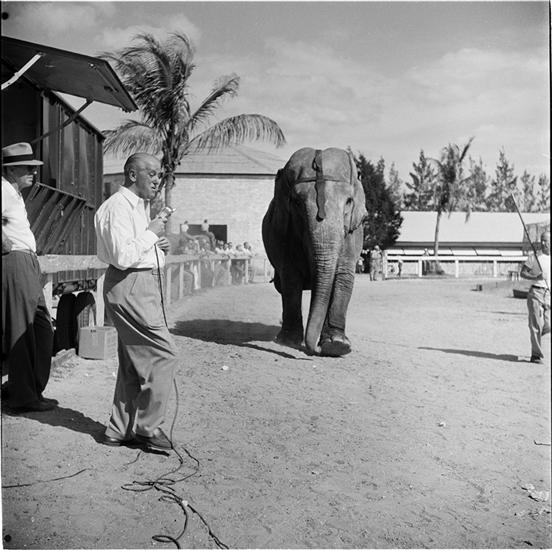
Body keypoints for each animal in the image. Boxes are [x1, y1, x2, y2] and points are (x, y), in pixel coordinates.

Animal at [262, 147, 367, 356]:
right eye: (296, 202)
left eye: (349, 201)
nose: (316, 349)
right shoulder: (286, 230)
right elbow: (290, 277)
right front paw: (288, 342)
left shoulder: (352, 233)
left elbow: (343, 276)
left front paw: (336, 345)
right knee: (281, 284)